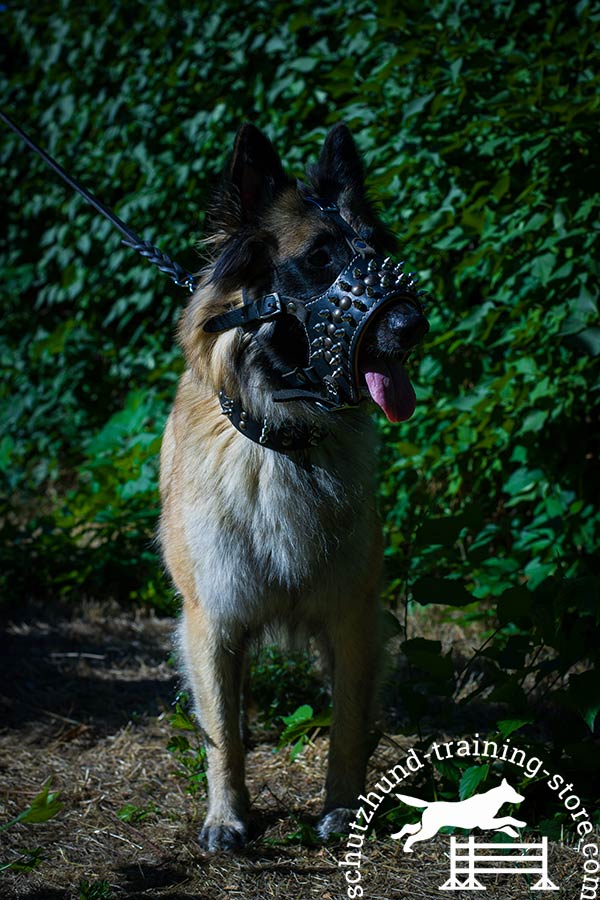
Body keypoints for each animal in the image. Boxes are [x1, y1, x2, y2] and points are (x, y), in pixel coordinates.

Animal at [159, 121, 428, 852]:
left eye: (377, 250)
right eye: (320, 258)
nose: (414, 324)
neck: (283, 444)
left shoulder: (352, 617)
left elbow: (346, 726)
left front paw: (341, 811)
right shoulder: (213, 619)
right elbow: (222, 734)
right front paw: (227, 817)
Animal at [390, 780, 524, 852]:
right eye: (513, 792)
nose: (523, 798)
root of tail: (429, 804)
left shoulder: (488, 824)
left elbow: (505, 825)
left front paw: (514, 832)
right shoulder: (486, 823)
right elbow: (508, 819)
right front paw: (520, 824)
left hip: (425, 827)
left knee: (407, 827)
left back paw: (395, 836)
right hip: (429, 830)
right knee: (412, 837)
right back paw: (407, 849)